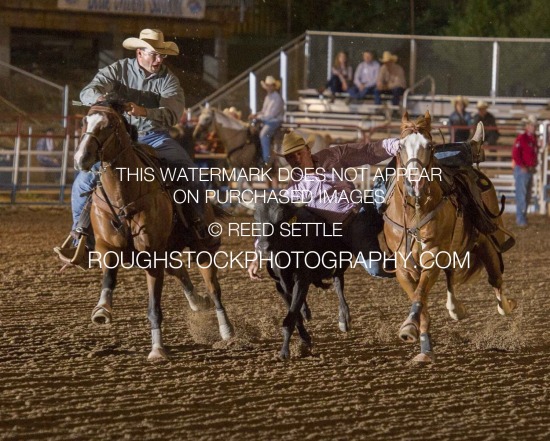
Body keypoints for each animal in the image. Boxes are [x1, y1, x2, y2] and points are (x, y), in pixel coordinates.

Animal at [74, 102, 235, 360]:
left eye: (109, 125)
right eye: (84, 122)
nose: (82, 158)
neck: (125, 196)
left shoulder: (152, 255)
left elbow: (154, 306)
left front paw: (158, 349)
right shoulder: (106, 247)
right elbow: (109, 277)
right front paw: (102, 309)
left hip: (201, 251)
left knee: (214, 290)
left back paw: (226, 331)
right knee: (178, 270)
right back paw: (197, 302)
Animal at [384, 111, 516, 362]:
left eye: (430, 146)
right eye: (400, 147)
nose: (416, 183)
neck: (415, 211)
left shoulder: (433, 255)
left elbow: (419, 295)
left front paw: (409, 328)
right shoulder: (402, 266)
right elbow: (419, 300)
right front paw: (422, 343)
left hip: (486, 243)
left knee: (495, 279)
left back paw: (506, 305)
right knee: (451, 274)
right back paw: (456, 308)